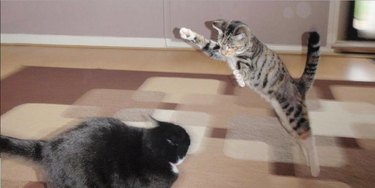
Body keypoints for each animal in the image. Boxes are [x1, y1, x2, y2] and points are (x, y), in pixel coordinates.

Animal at [181, 19, 322, 177]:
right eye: (221, 43)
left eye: (231, 45)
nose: (224, 51)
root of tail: (298, 85)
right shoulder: (218, 51)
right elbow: (207, 44)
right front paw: (187, 33)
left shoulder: (248, 62)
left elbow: (242, 70)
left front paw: (239, 78)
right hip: (285, 120)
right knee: (300, 137)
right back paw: (306, 160)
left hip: (294, 114)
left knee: (309, 137)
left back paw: (315, 169)